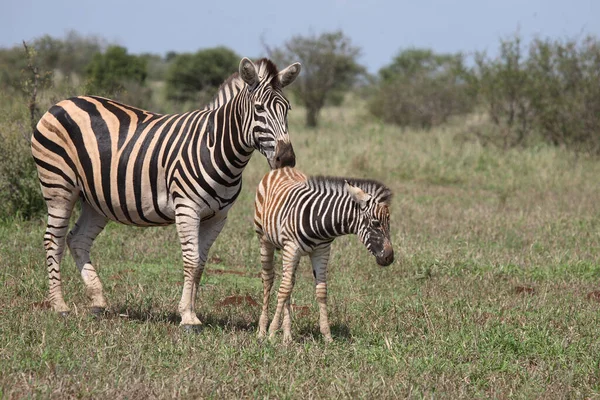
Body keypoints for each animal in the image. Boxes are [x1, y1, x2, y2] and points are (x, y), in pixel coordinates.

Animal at [253, 167, 394, 342]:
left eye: (389, 224)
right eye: (375, 223)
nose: (389, 258)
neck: (319, 222)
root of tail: (282, 168)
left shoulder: (322, 251)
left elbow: (321, 290)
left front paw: (327, 336)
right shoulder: (292, 248)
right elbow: (283, 289)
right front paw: (272, 332)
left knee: (290, 282)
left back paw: (287, 336)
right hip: (265, 240)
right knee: (269, 280)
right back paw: (262, 331)